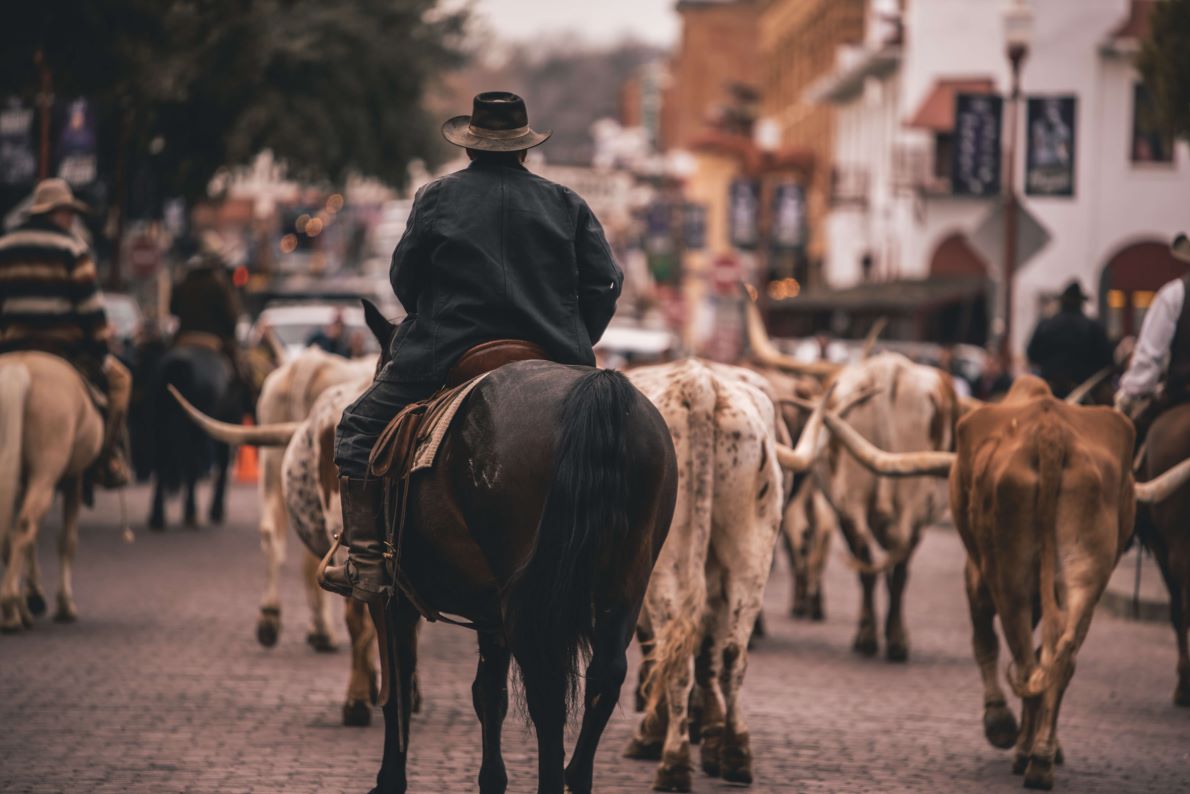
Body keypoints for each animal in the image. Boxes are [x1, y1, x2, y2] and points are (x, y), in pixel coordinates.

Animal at [0, 354, 103, 633]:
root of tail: (18, 369)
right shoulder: (73, 479)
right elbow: (67, 541)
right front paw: (64, 604)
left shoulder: (22, 480)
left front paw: (34, 596)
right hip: (47, 471)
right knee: (26, 526)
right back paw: (10, 611)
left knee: (16, 532)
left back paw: (18, 609)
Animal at [361, 309, 680, 794]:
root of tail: (599, 391)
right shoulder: (489, 612)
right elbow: (488, 695)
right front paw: (492, 779)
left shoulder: (394, 598)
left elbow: (398, 685)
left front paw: (389, 779)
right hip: (622, 585)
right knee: (605, 675)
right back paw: (576, 778)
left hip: (527, 599)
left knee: (546, 690)